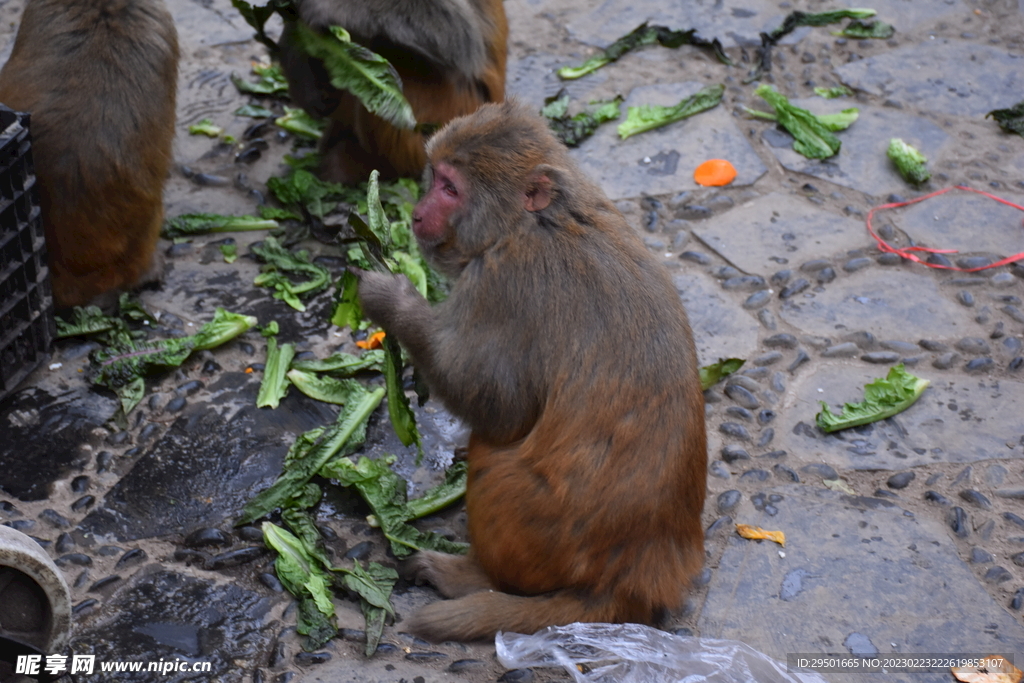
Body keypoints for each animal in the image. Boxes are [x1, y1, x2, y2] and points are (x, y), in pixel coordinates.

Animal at [356, 100, 708, 643]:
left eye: (450, 188)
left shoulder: (501, 283)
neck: (539, 221)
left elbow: (500, 408)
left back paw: (472, 577)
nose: (415, 214)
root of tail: (635, 579)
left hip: (537, 535)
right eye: (435, 177)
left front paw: (390, 299)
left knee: (492, 453)